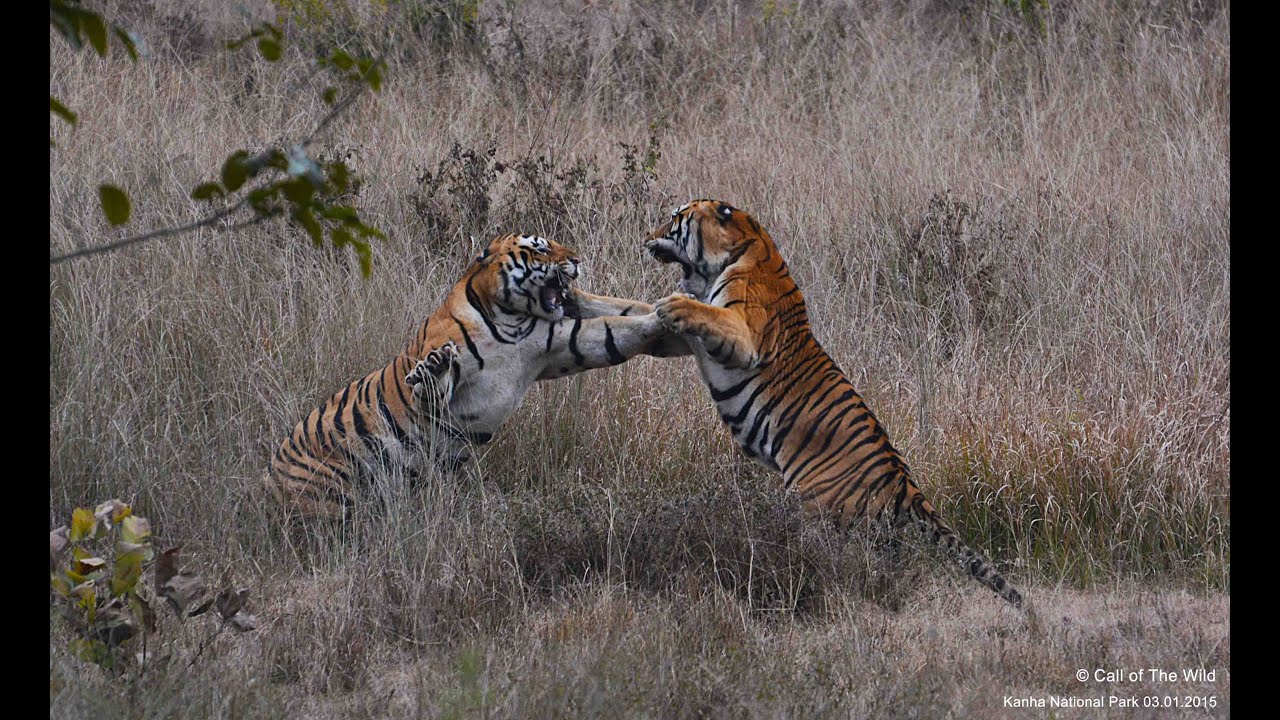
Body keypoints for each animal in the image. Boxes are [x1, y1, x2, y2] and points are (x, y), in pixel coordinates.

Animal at [267, 232, 689, 519]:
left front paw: (672, 314)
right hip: (330, 494)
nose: (577, 259)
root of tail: (269, 476)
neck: (511, 319)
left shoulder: (562, 343)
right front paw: (436, 368)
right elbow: (429, 388)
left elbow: (616, 330)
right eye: (540, 247)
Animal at [645, 200, 1024, 609]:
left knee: (833, 562)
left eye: (674, 217)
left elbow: (708, 314)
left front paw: (672, 306)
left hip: (819, 511)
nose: (647, 238)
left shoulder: (745, 337)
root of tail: (906, 485)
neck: (747, 243)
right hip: (879, 536)